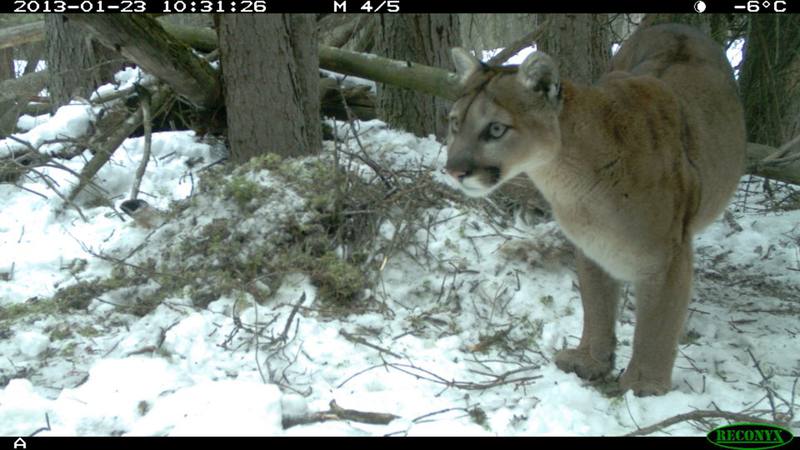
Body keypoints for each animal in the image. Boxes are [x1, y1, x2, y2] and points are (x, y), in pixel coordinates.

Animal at [446, 24, 748, 394]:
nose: (453, 170)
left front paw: (644, 385)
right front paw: (590, 360)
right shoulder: (591, 244)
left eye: (496, 129)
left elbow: (658, 324)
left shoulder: (668, 256)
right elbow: (596, 304)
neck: (567, 175)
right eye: (455, 123)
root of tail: (675, 25)